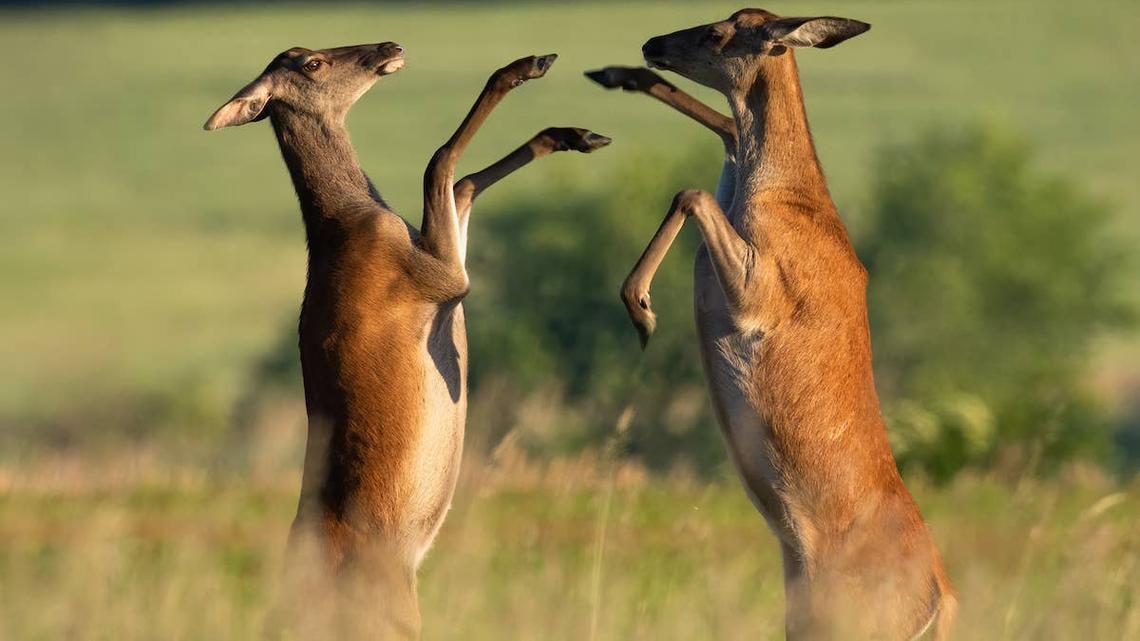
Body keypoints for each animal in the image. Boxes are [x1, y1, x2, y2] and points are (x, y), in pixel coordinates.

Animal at [204, 43, 609, 639]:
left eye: (306, 50)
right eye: (313, 64)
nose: (388, 47)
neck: (355, 222)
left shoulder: (437, 257)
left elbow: (462, 183)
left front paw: (572, 134)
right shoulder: (440, 279)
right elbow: (440, 162)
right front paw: (526, 68)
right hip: (391, 615)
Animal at [587, 9, 955, 641]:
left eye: (719, 33)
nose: (652, 43)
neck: (781, 194)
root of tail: (943, 604)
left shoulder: (761, 289)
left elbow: (691, 190)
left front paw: (641, 307)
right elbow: (726, 135)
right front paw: (616, 75)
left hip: (844, 620)